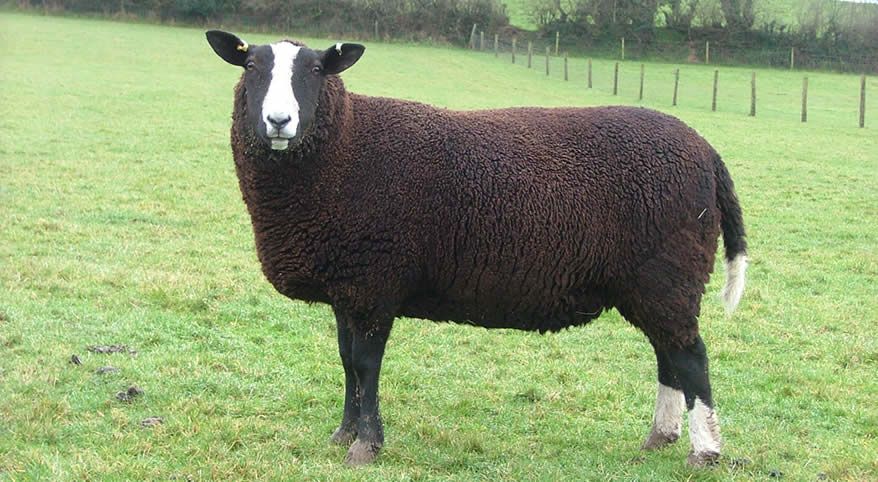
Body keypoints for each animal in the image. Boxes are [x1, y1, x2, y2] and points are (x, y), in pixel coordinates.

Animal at [206, 30, 749, 467]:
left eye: (316, 71)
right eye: (251, 67)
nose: (279, 121)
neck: (345, 146)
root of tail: (706, 152)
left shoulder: (376, 282)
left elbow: (365, 365)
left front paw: (366, 445)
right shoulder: (349, 286)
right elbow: (345, 361)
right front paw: (343, 434)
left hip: (668, 272)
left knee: (691, 357)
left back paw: (705, 451)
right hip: (656, 282)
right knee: (669, 355)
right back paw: (661, 436)